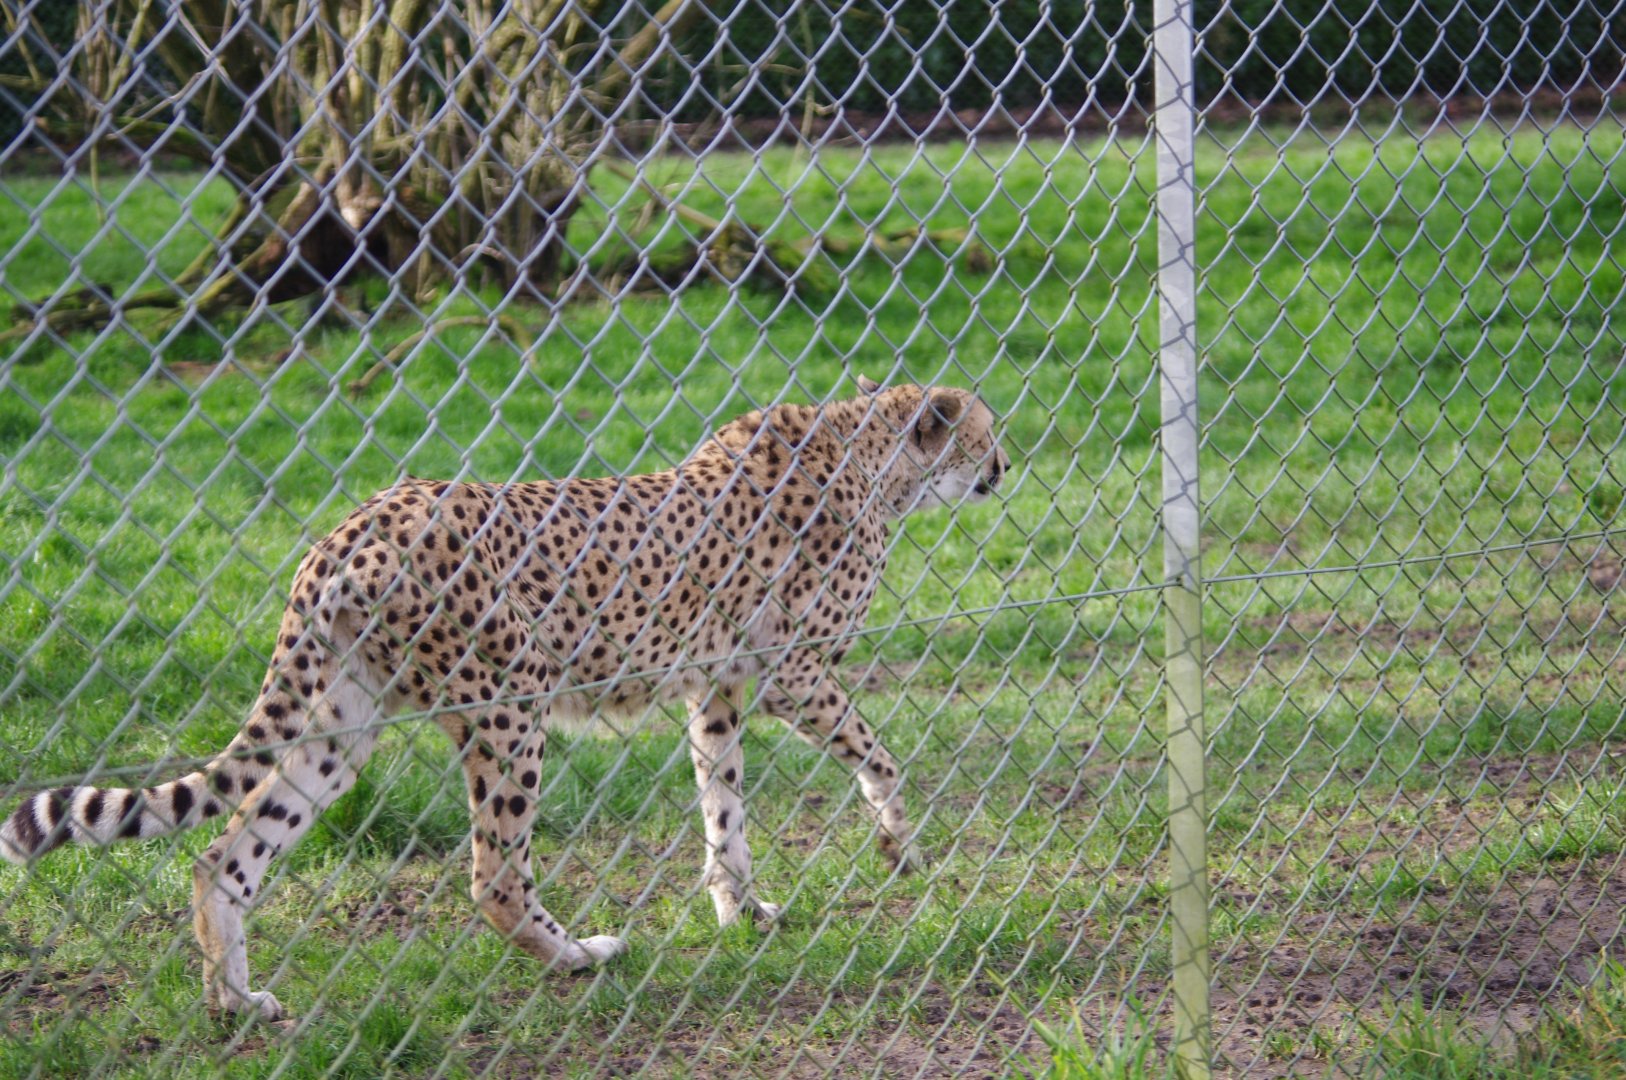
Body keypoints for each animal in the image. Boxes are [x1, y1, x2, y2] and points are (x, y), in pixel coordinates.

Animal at [1, 377, 1010, 1021]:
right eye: (984, 432)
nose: (1005, 469)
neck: (870, 456)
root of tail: (347, 529)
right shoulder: (793, 672)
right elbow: (878, 753)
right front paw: (898, 844)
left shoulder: (717, 690)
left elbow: (722, 805)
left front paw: (739, 910)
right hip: (508, 707)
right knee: (493, 876)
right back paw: (580, 956)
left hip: (341, 727)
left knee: (226, 854)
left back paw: (236, 1002)